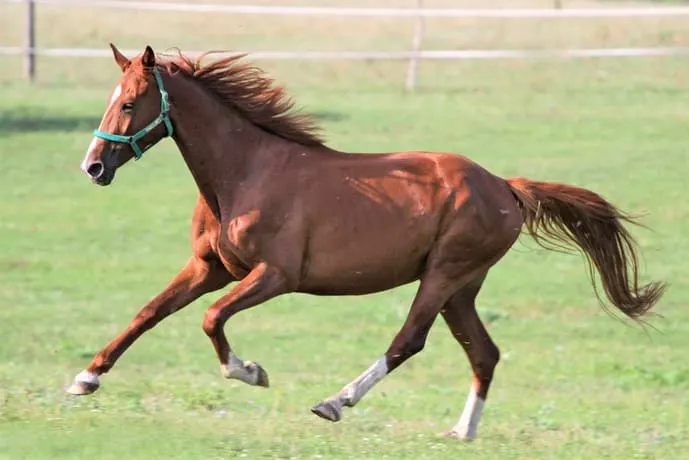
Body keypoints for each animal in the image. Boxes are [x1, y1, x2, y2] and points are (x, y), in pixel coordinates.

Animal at [68, 44, 660, 442]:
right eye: (112, 99)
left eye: (130, 103)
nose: (93, 168)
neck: (245, 173)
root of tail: (505, 187)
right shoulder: (208, 267)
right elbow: (149, 313)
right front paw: (85, 378)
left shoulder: (275, 276)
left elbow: (212, 319)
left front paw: (250, 372)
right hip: (461, 288)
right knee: (484, 352)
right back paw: (462, 431)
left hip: (443, 274)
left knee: (409, 341)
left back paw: (335, 402)